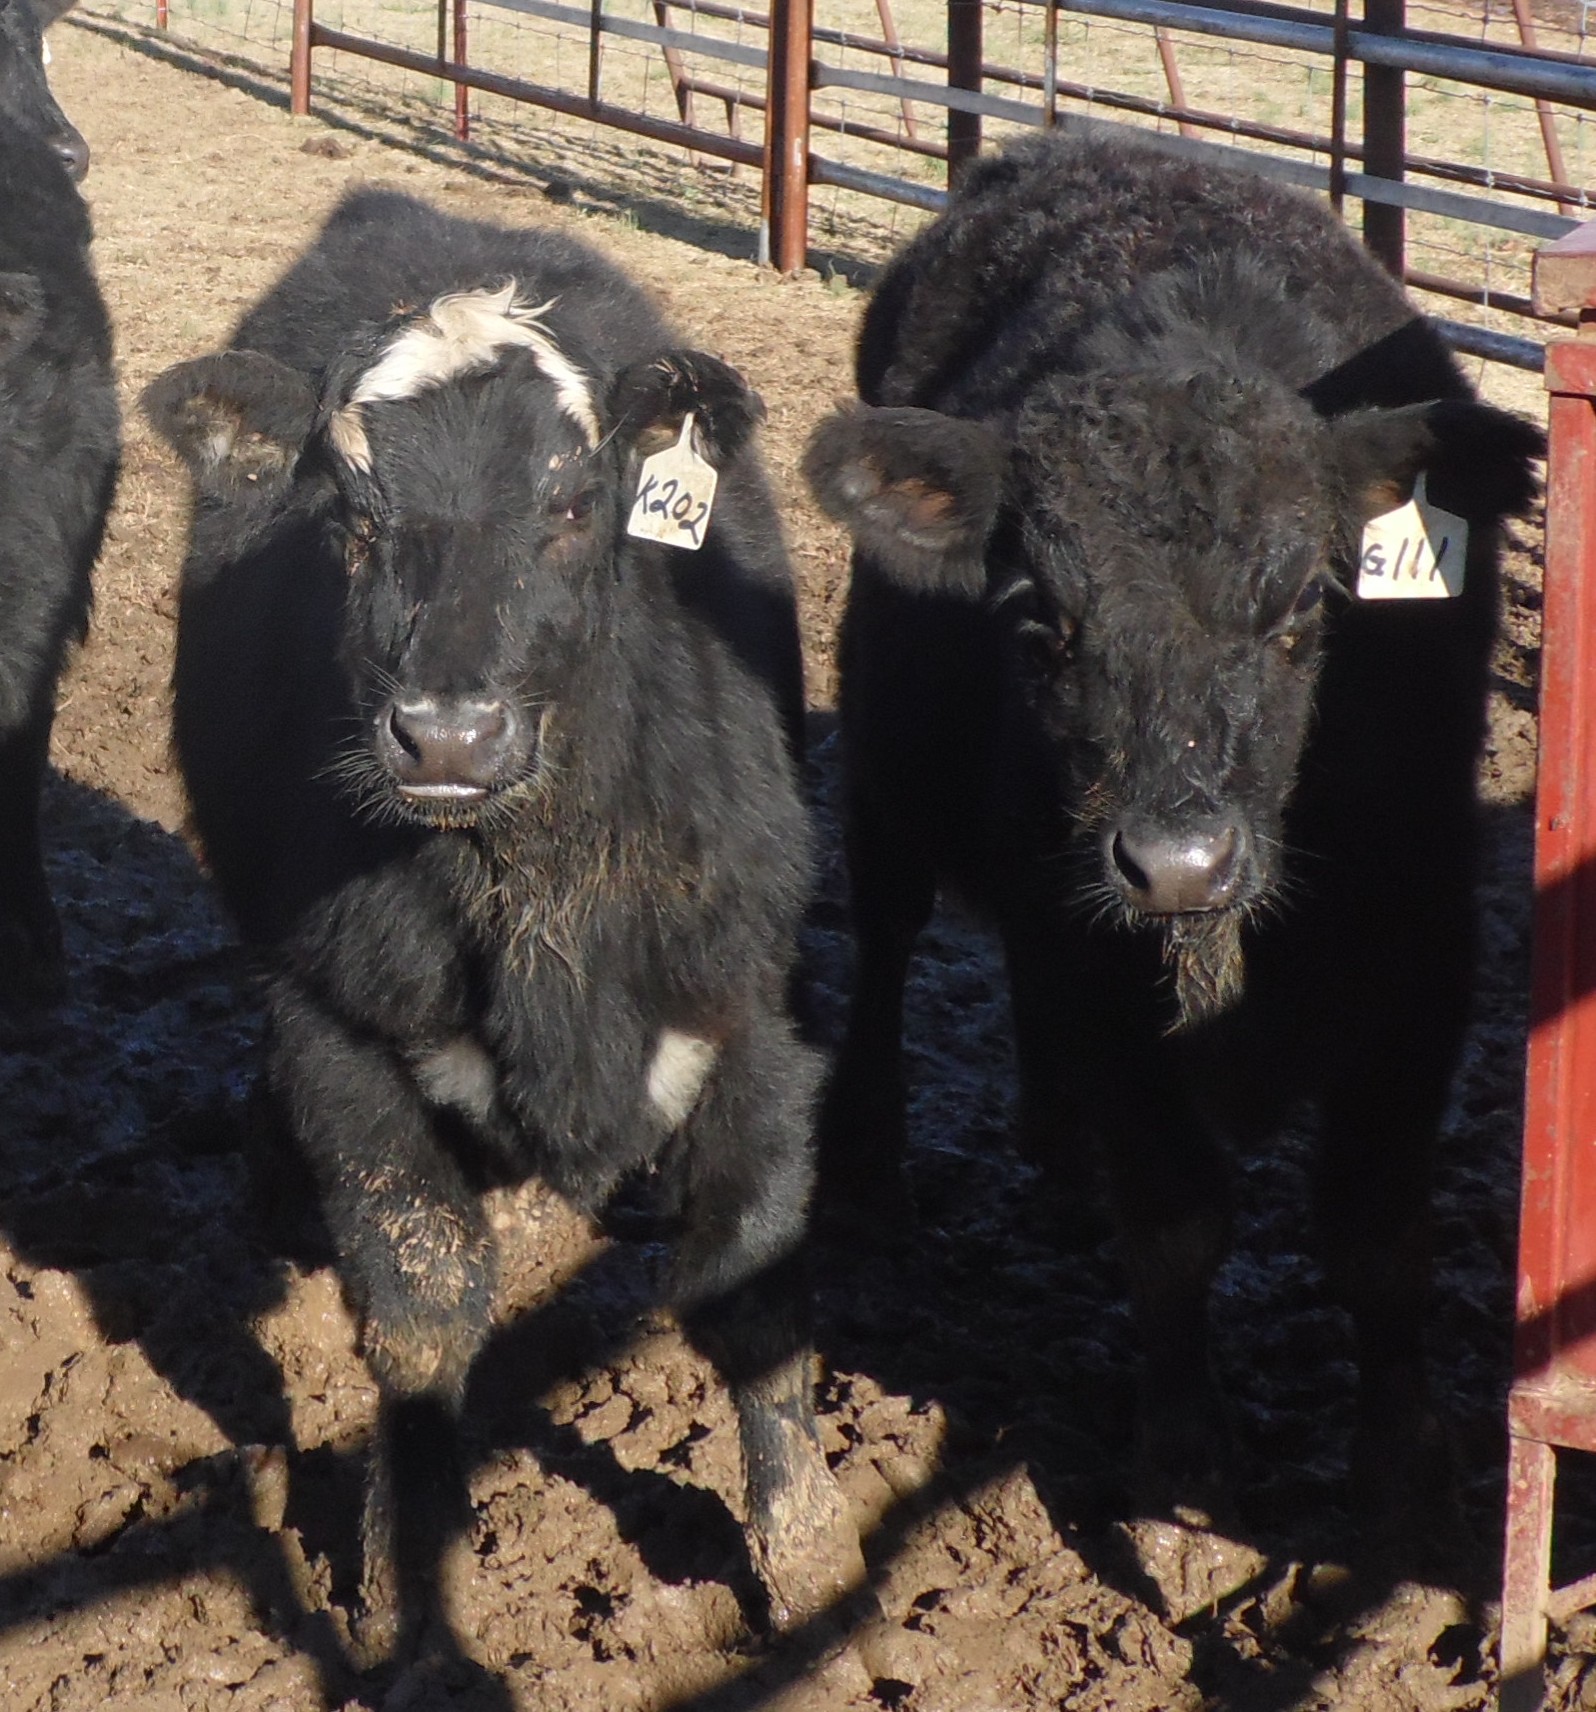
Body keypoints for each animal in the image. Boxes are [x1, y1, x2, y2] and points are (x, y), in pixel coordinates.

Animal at [148, 194, 866, 1664]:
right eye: (352, 517)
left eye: (574, 505)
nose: (447, 734)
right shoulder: (340, 1031)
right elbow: (420, 1312)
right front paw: (401, 1603)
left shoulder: (757, 1005)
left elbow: (756, 1298)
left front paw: (818, 1580)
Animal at [804, 130, 1541, 1527]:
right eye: (1041, 614)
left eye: (1306, 600)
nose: (1179, 863)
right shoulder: (1094, 964)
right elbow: (1177, 1221)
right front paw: (1188, 1449)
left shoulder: (1427, 953)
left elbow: (1378, 1231)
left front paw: (1405, 1457)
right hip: (888, 771)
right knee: (882, 940)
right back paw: (868, 1170)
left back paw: (1052, 1147)